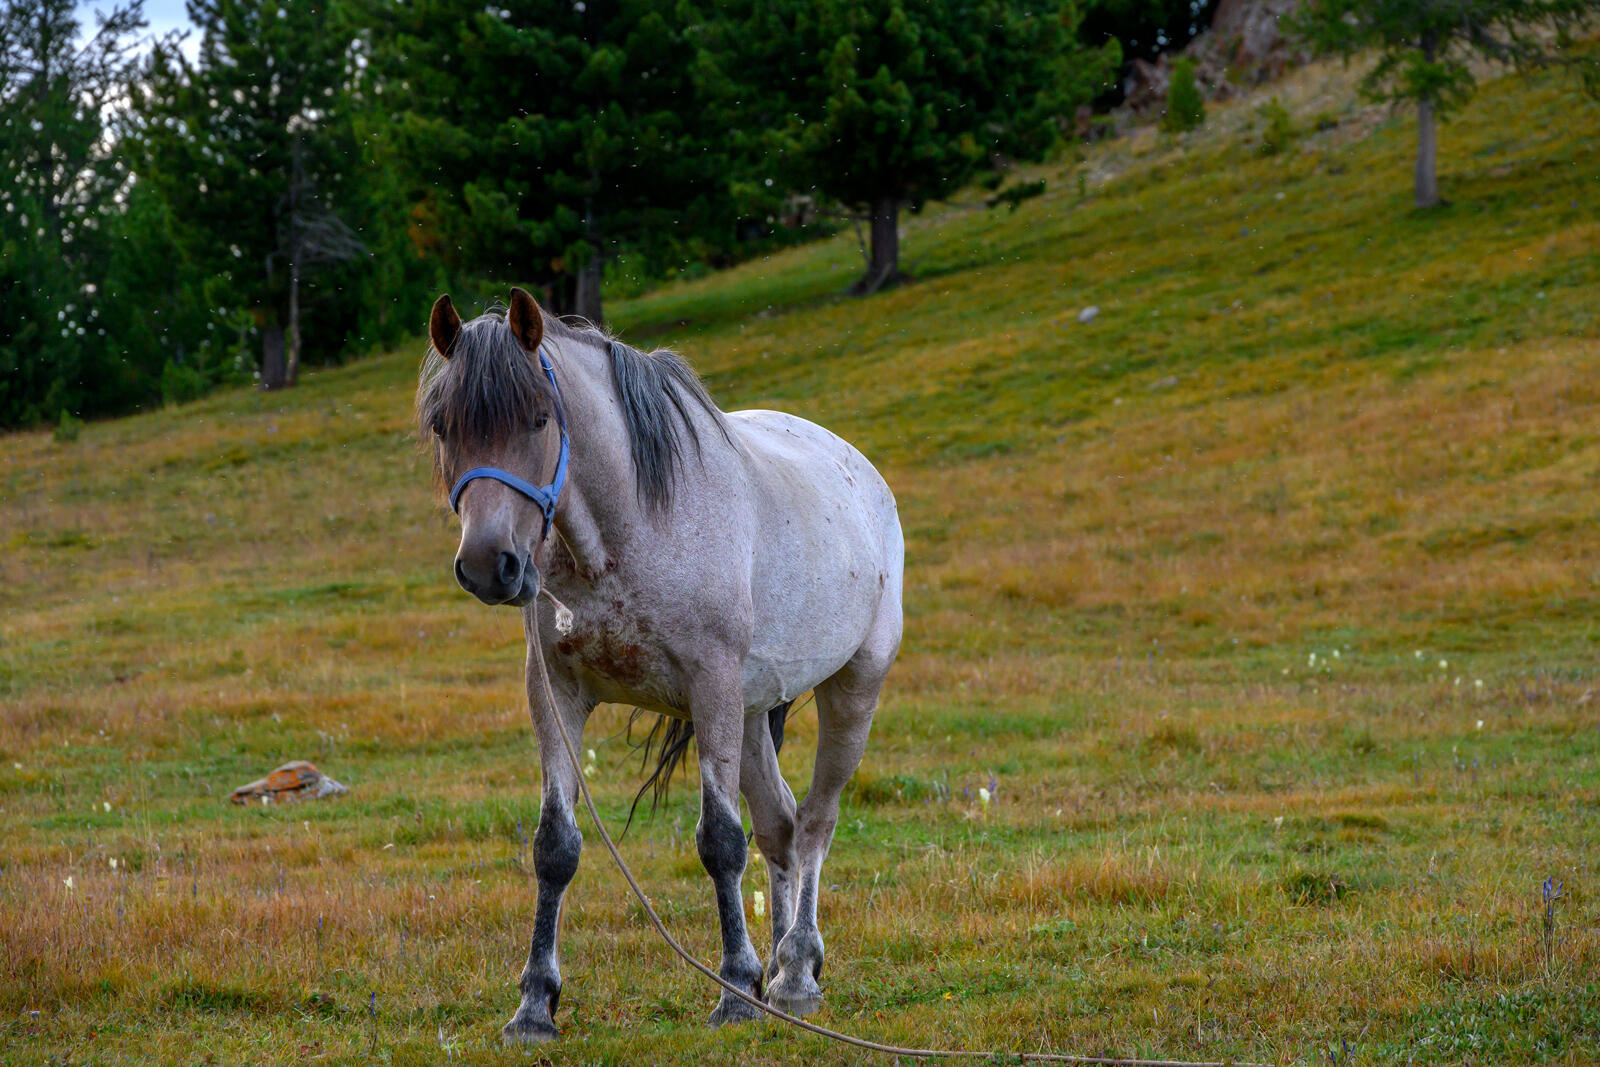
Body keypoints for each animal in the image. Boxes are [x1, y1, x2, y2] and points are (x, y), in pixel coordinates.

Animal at [419, 287, 908, 1036]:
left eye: (539, 418)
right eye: (445, 427)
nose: (488, 564)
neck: (629, 532)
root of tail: (860, 472)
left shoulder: (711, 686)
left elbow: (720, 842)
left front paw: (733, 990)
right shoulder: (556, 693)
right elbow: (555, 846)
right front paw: (534, 1003)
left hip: (850, 690)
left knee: (816, 822)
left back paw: (795, 972)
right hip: (752, 710)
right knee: (781, 826)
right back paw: (780, 974)